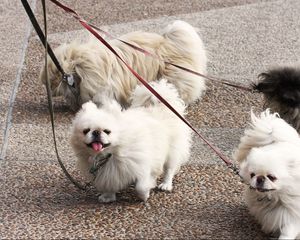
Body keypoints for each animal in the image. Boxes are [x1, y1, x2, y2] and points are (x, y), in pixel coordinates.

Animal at [234, 109, 300, 239]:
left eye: (272, 177)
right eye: (252, 175)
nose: (260, 178)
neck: (276, 197)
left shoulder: (292, 215)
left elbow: (288, 231)